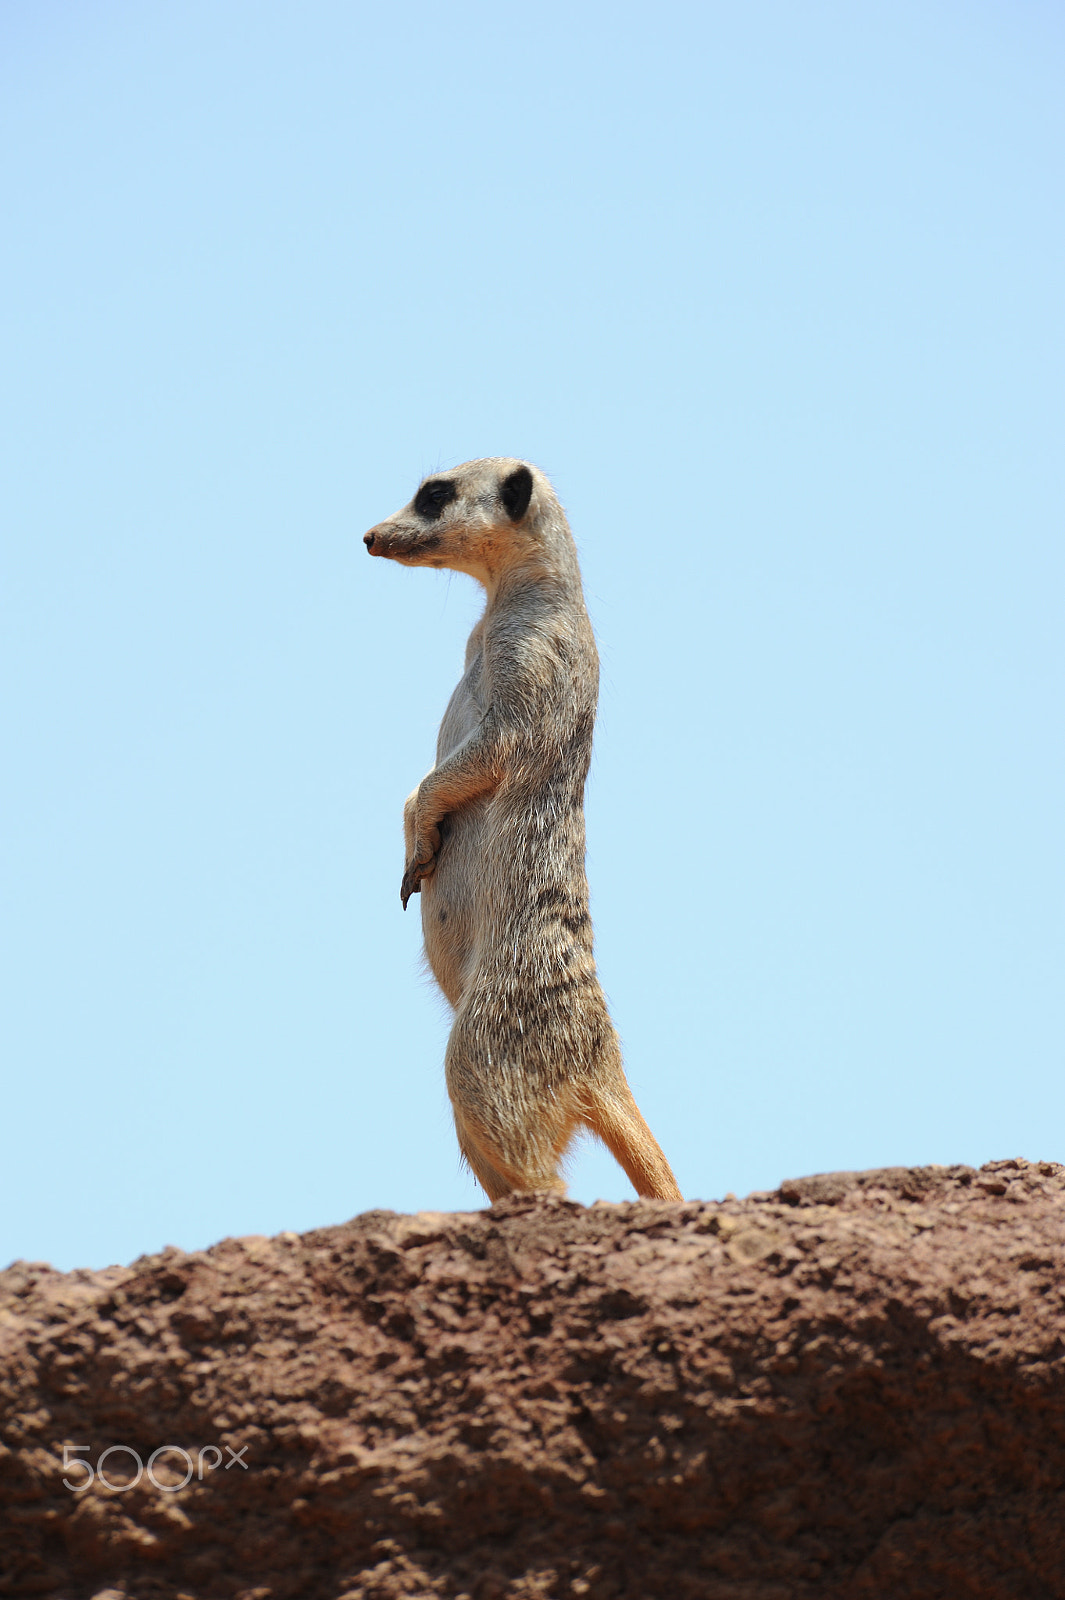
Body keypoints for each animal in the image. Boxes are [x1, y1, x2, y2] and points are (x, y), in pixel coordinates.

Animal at [364, 458, 681, 1202]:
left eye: (433, 495)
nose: (369, 536)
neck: (504, 606)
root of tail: (597, 1060)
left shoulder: (535, 657)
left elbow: (493, 748)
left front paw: (418, 824)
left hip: (492, 1037)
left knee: (497, 1113)